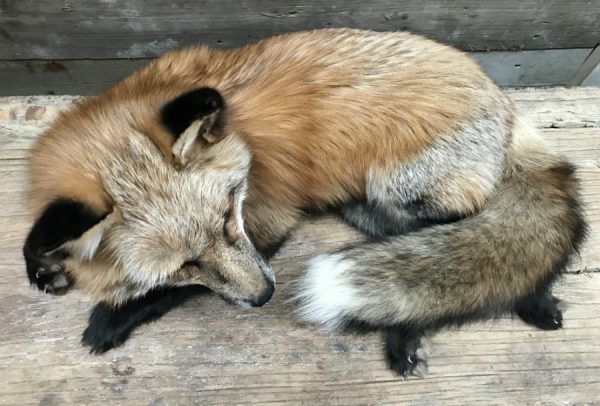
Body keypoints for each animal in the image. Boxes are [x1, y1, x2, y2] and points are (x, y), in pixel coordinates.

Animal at [22, 28, 584, 376]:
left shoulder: (266, 220)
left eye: (228, 219)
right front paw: (45, 267)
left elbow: (165, 296)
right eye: (185, 262)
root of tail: (505, 103)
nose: (266, 297)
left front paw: (112, 317)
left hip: (399, 182)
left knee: (455, 223)